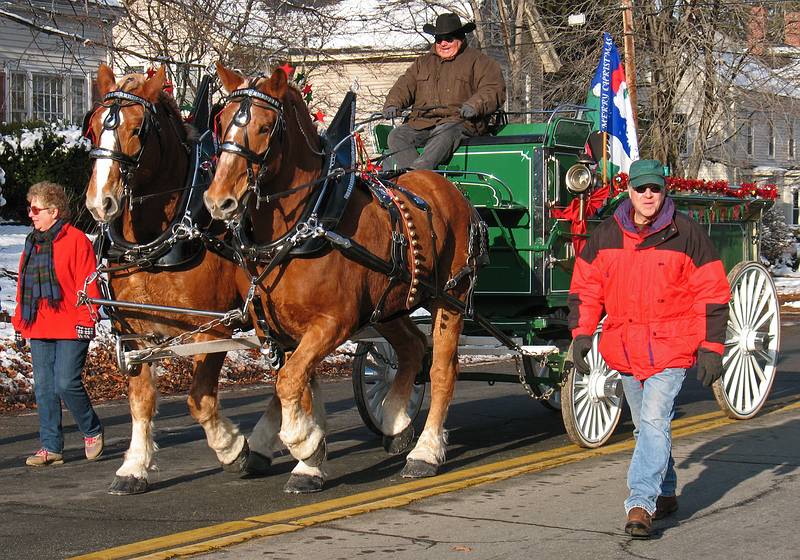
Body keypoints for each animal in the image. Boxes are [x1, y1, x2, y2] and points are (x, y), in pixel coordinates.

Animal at [85, 64, 272, 494]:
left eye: (137, 129)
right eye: (93, 126)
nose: (100, 202)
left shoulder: (212, 328)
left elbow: (199, 400)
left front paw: (233, 450)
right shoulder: (133, 332)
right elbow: (141, 400)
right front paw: (134, 466)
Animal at [203, 63, 484, 492]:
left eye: (266, 127)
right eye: (220, 123)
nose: (219, 201)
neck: (309, 220)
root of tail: (452, 189)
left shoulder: (333, 323)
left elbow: (289, 382)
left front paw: (303, 444)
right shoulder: (281, 330)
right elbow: (296, 384)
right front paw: (309, 460)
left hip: (450, 297)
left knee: (441, 369)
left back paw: (425, 451)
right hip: (390, 305)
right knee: (412, 348)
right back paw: (396, 423)